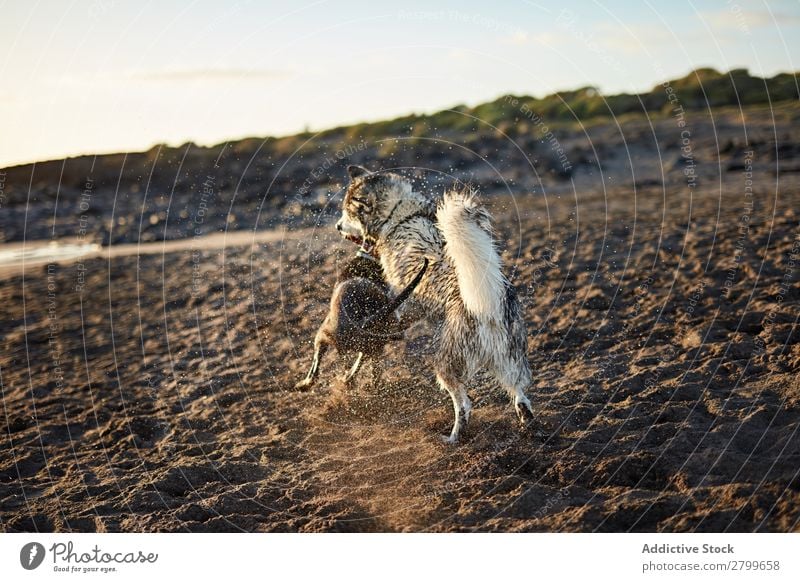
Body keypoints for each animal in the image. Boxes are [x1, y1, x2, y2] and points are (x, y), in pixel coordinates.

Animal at [334, 167, 536, 444]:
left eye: (347, 212)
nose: (337, 226)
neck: (398, 215)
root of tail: (489, 308)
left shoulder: (403, 302)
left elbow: (368, 348)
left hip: (446, 364)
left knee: (464, 405)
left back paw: (453, 438)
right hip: (510, 360)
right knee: (520, 394)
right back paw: (527, 423)